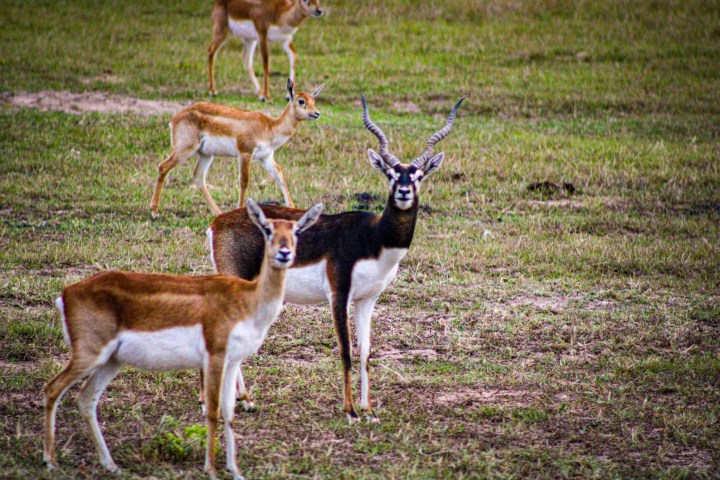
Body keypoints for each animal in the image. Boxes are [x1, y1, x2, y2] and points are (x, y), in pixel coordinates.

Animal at [43, 199, 323, 480]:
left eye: (297, 231)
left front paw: (235, 471)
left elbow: (229, 412)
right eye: (267, 229)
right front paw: (211, 470)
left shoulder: (233, 361)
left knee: (86, 399)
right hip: (90, 354)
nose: (284, 253)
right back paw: (50, 461)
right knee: (53, 388)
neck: (247, 299)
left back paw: (110, 465)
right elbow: (212, 410)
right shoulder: (215, 356)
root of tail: (67, 293)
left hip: (112, 361)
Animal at [149, 79, 324, 218]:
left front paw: (293, 208)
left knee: (198, 177)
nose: (317, 113)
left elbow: (279, 174)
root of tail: (175, 119)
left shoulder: (266, 157)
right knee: (163, 166)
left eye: (313, 100)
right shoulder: (245, 152)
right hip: (185, 149)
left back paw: (218, 212)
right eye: (301, 101)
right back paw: (154, 211)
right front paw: (240, 209)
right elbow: (244, 180)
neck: (269, 128)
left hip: (206, 154)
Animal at [207, 95, 465, 423]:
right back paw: (242, 401)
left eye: (418, 176)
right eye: (390, 174)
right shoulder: (338, 293)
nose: (404, 192)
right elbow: (345, 351)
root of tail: (218, 221)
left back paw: (241, 399)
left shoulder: (367, 299)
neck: (375, 237)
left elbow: (366, 352)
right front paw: (350, 411)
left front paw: (369, 410)